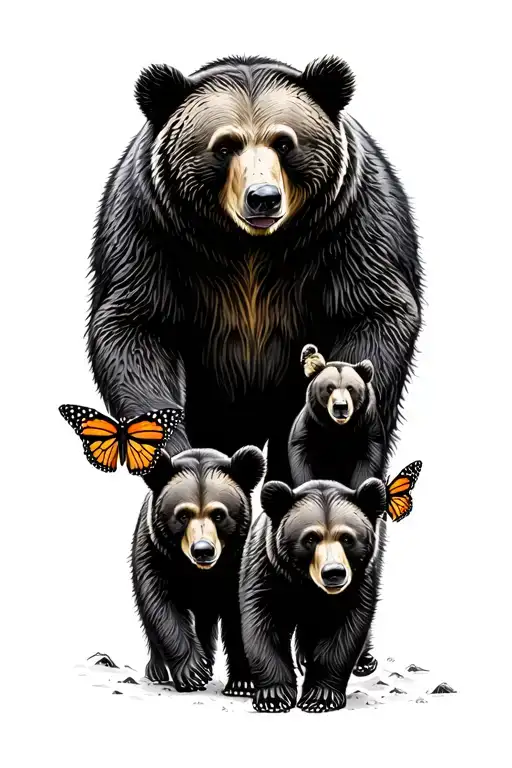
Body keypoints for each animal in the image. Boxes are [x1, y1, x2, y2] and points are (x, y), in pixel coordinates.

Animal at [131, 445, 265, 695]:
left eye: (219, 514)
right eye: (183, 514)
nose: (203, 550)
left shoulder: (237, 562)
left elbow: (241, 611)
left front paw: (242, 683)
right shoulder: (155, 552)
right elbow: (160, 603)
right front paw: (191, 672)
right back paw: (157, 670)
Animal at [239, 477, 386, 713]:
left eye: (347, 538)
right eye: (310, 538)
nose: (334, 572)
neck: (308, 585)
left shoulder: (357, 583)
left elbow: (343, 633)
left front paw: (320, 697)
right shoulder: (267, 570)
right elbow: (263, 623)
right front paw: (273, 697)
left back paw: (364, 662)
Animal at [288, 343, 387, 488]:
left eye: (350, 388)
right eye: (329, 388)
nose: (341, 407)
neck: (338, 428)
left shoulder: (367, 429)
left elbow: (368, 462)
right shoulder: (310, 428)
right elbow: (303, 462)